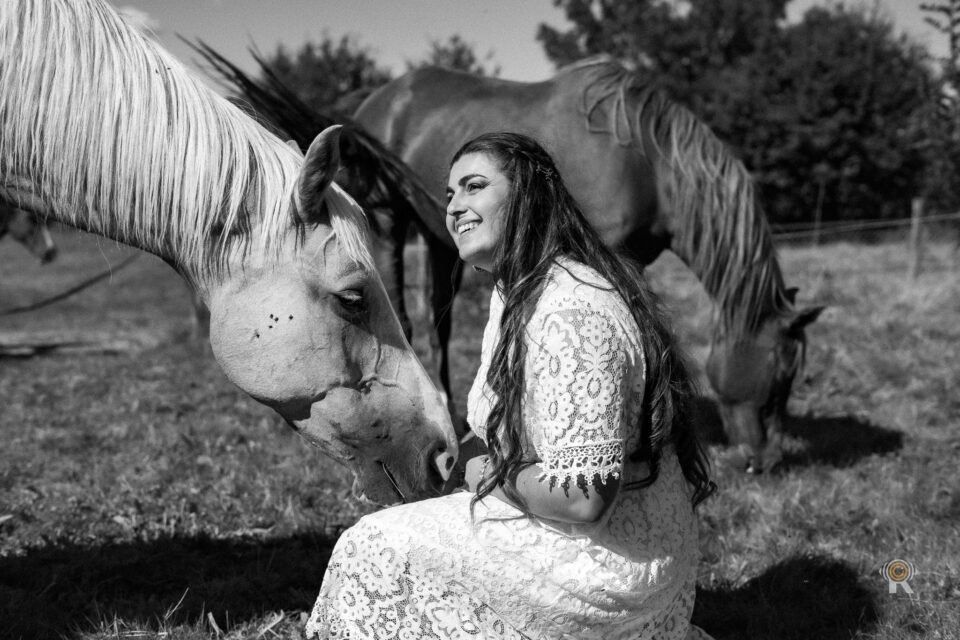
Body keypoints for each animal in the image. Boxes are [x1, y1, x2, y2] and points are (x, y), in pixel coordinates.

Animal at [348, 60, 825, 473]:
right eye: (781, 381)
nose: (765, 462)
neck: (648, 161)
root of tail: (375, 101)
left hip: (440, 239)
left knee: (438, 323)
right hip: (387, 221)